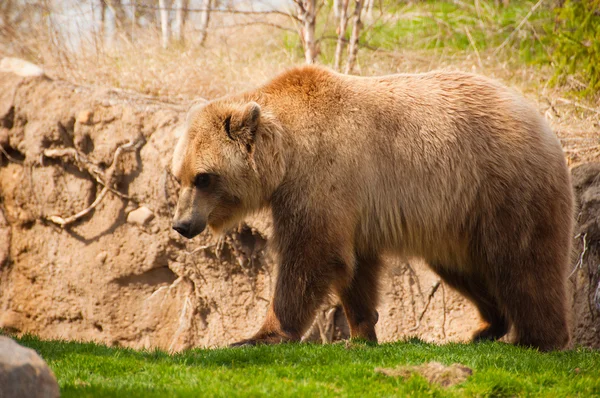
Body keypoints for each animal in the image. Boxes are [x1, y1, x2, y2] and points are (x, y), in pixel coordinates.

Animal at [171, 65, 576, 352]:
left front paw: (260, 334)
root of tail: (543, 122)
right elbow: (355, 268)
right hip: (456, 218)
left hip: (502, 185)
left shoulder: (321, 176)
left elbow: (311, 254)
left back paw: (541, 338)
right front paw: (362, 331)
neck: (287, 152)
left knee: (525, 262)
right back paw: (487, 327)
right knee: (465, 269)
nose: (181, 224)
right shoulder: (353, 204)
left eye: (204, 177)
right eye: (179, 177)